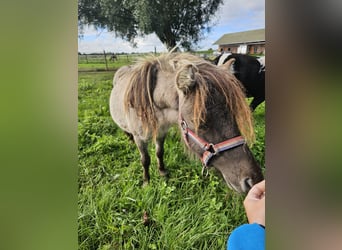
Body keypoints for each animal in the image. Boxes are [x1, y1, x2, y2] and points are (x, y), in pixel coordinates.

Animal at [108, 52, 264, 193]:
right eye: (201, 121)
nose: (254, 180)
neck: (150, 104)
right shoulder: (140, 138)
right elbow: (145, 160)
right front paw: (146, 181)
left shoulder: (161, 133)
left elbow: (159, 152)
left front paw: (162, 171)